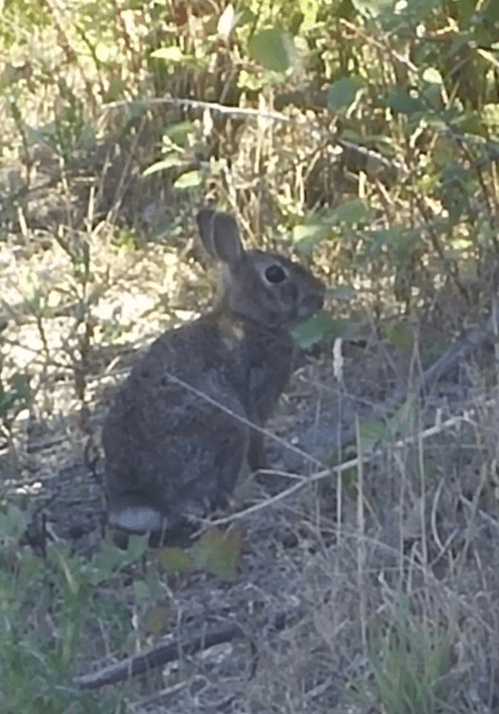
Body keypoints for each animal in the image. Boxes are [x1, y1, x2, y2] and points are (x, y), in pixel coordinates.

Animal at [103, 208, 325, 542]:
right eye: (275, 274)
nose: (319, 294)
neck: (248, 318)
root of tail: (146, 503)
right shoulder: (255, 404)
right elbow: (258, 448)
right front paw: (273, 476)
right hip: (227, 425)